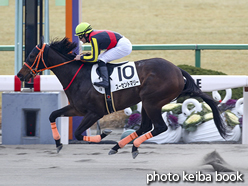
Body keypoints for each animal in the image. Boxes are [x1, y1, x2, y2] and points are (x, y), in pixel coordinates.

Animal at [17, 37, 227, 158]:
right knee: (145, 126)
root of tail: (176, 69)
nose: (20, 75)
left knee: (159, 127)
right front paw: (59, 143)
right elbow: (52, 115)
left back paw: (130, 147)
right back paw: (120, 146)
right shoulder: (77, 108)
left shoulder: (94, 112)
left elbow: (77, 133)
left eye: (31, 55)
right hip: (147, 102)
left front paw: (103, 134)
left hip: (152, 101)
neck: (78, 76)